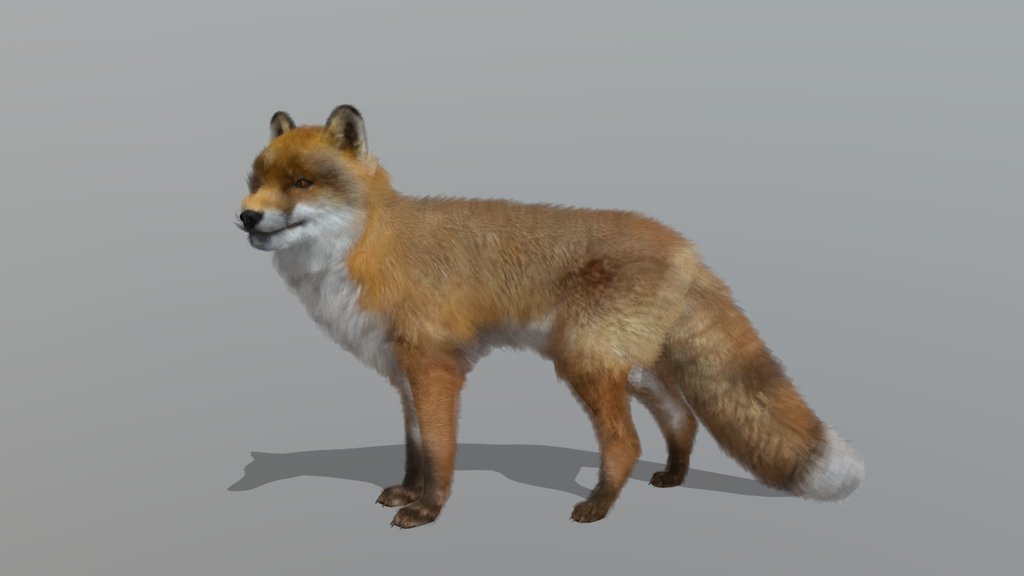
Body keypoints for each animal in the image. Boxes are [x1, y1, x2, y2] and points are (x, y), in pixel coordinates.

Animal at [237, 105, 865, 529]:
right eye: (257, 182)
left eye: (301, 183)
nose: (245, 217)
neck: (367, 248)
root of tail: (685, 246)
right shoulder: (403, 372)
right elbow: (415, 448)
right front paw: (409, 492)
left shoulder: (436, 366)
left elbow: (440, 449)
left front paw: (429, 509)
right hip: (631, 367)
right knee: (682, 419)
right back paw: (673, 475)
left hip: (584, 360)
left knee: (626, 442)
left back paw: (601, 504)